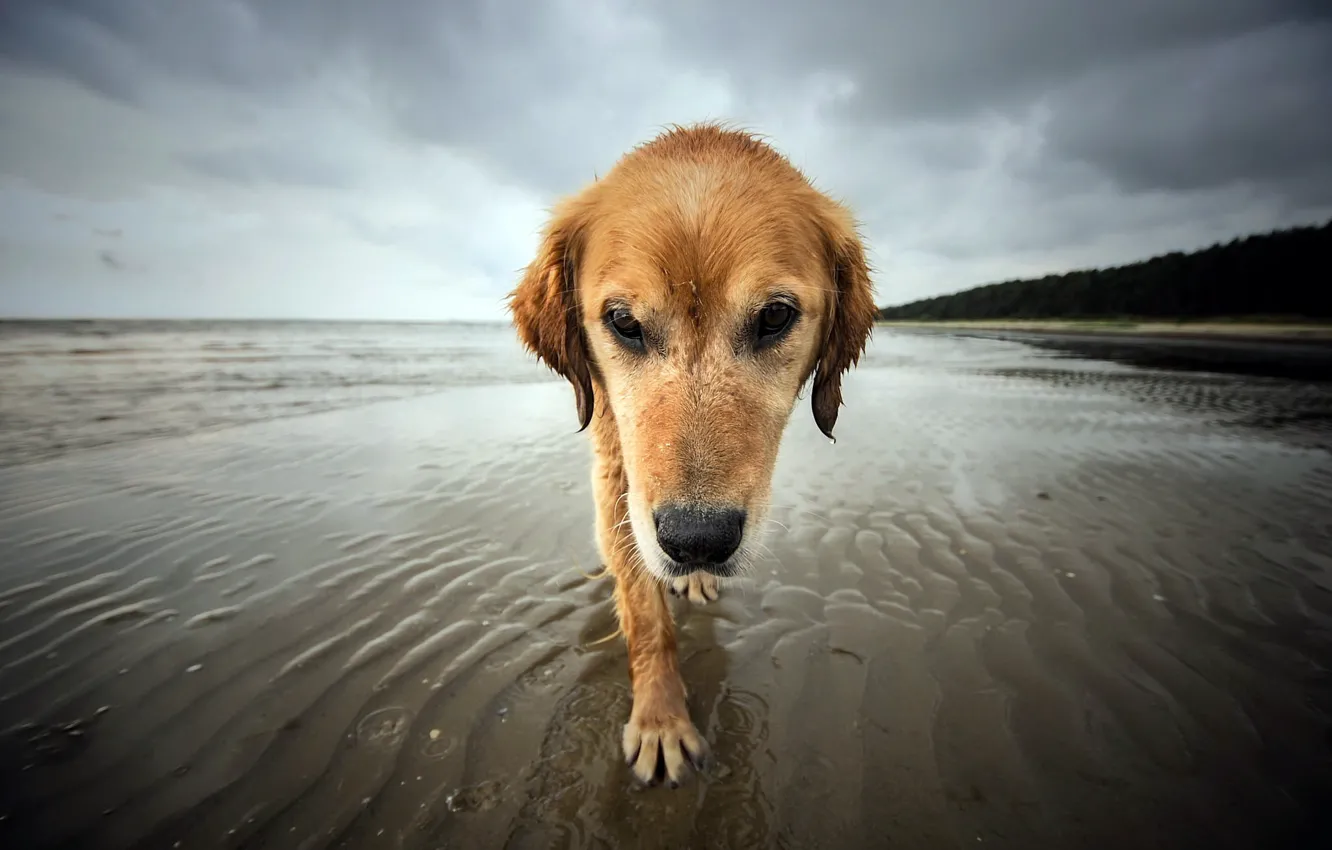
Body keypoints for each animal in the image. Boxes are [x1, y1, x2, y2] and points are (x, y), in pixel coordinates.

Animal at [506, 123, 873, 788]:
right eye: (623, 322)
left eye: (774, 315)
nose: (697, 541)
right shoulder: (618, 476)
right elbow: (644, 614)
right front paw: (661, 720)